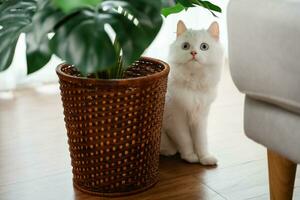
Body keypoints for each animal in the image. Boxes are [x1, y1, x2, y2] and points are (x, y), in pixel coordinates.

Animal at [161, 20, 224, 166]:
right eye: (185, 46)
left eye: (204, 47)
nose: (194, 52)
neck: (194, 84)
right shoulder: (176, 119)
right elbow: (185, 140)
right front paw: (190, 156)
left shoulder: (200, 117)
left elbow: (201, 141)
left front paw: (205, 157)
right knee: (170, 147)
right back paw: (169, 151)